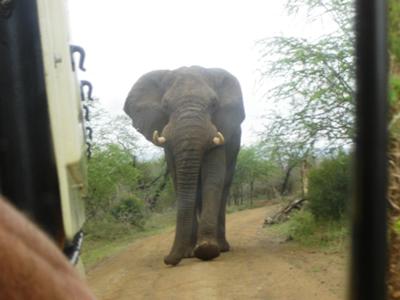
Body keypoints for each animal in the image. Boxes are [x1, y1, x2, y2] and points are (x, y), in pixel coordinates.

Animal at [124, 65, 244, 264]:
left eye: (214, 104)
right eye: (165, 106)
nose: (167, 259)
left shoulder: (220, 130)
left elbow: (213, 176)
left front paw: (206, 250)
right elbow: (178, 180)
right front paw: (190, 253)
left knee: (225, 186)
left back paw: (222, 247)